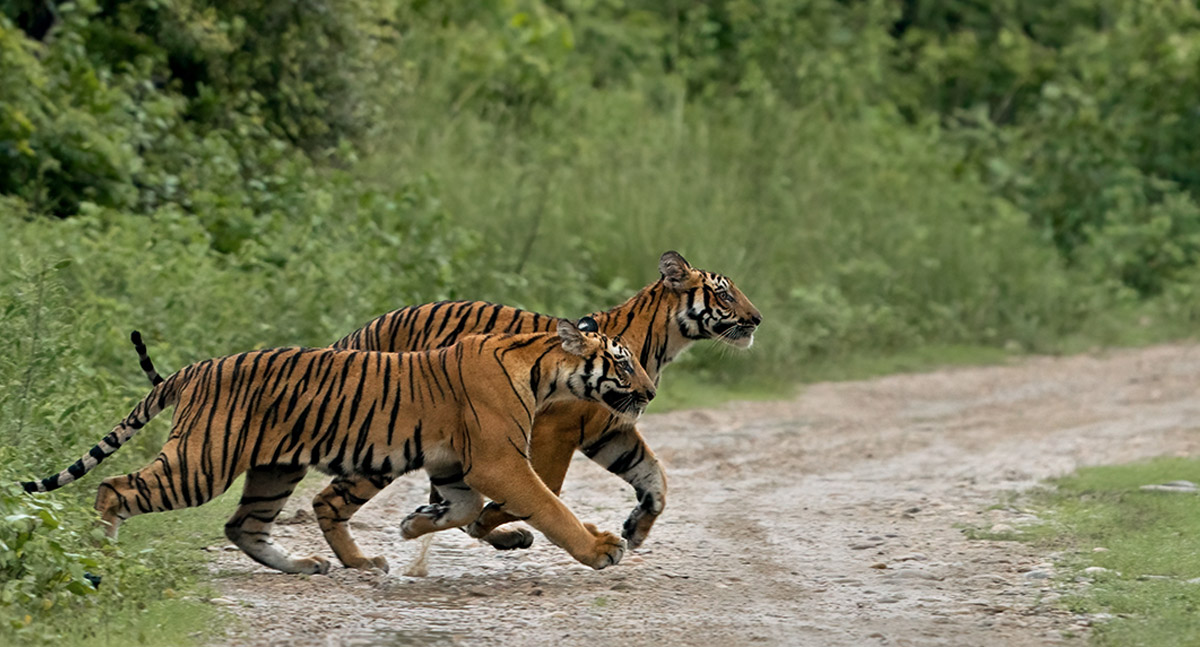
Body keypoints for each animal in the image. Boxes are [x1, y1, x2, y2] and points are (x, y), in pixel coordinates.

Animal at [21, 321, 657, 573]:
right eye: (624, 363)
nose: (651, 392)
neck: (542, 369)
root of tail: (194, 368)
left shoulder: (456, 465)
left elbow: (465, 510)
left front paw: (412, 527)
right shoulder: (499, 463)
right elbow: (550, 507)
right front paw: (601, 548)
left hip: (273, 470)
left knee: (243, 526)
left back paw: (315, 564)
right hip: (202, 462)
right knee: (114, 488)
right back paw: (101, 558)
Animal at [131, 250, 758, 568]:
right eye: (724, 292)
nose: (757, 319)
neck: (658, 343)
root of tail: (354, 335)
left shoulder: (611, 430)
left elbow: (654, 478)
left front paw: (637, 527)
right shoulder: (557, 431)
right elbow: (547, 490)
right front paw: (504, 523)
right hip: (378, 445)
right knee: (330, 499)